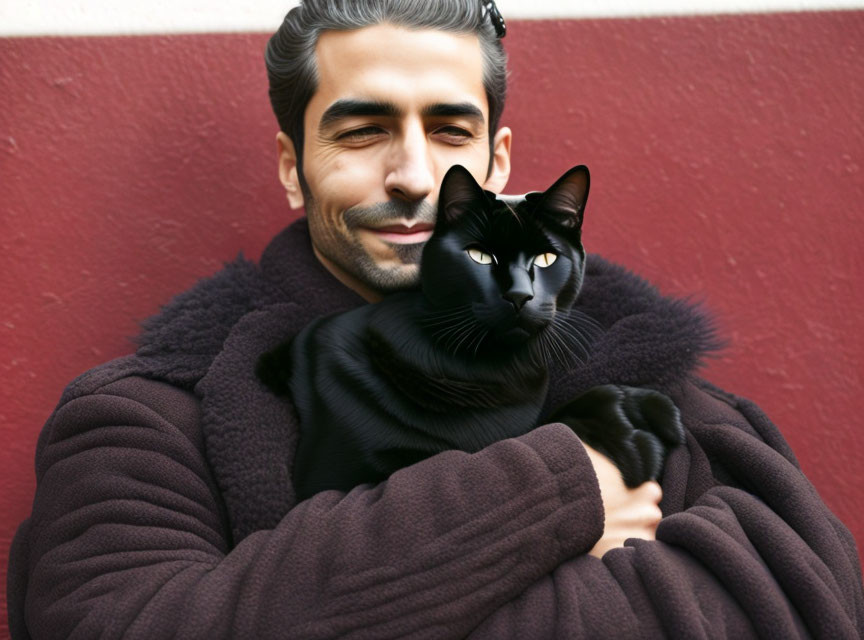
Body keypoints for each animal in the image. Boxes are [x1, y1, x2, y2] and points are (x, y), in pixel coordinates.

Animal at [256, 165, 680, 500]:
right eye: (479, 255)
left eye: (546, 258)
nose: (519, 295)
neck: (488, 369)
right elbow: (544, 429)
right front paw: (632, 434)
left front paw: (652, 410)